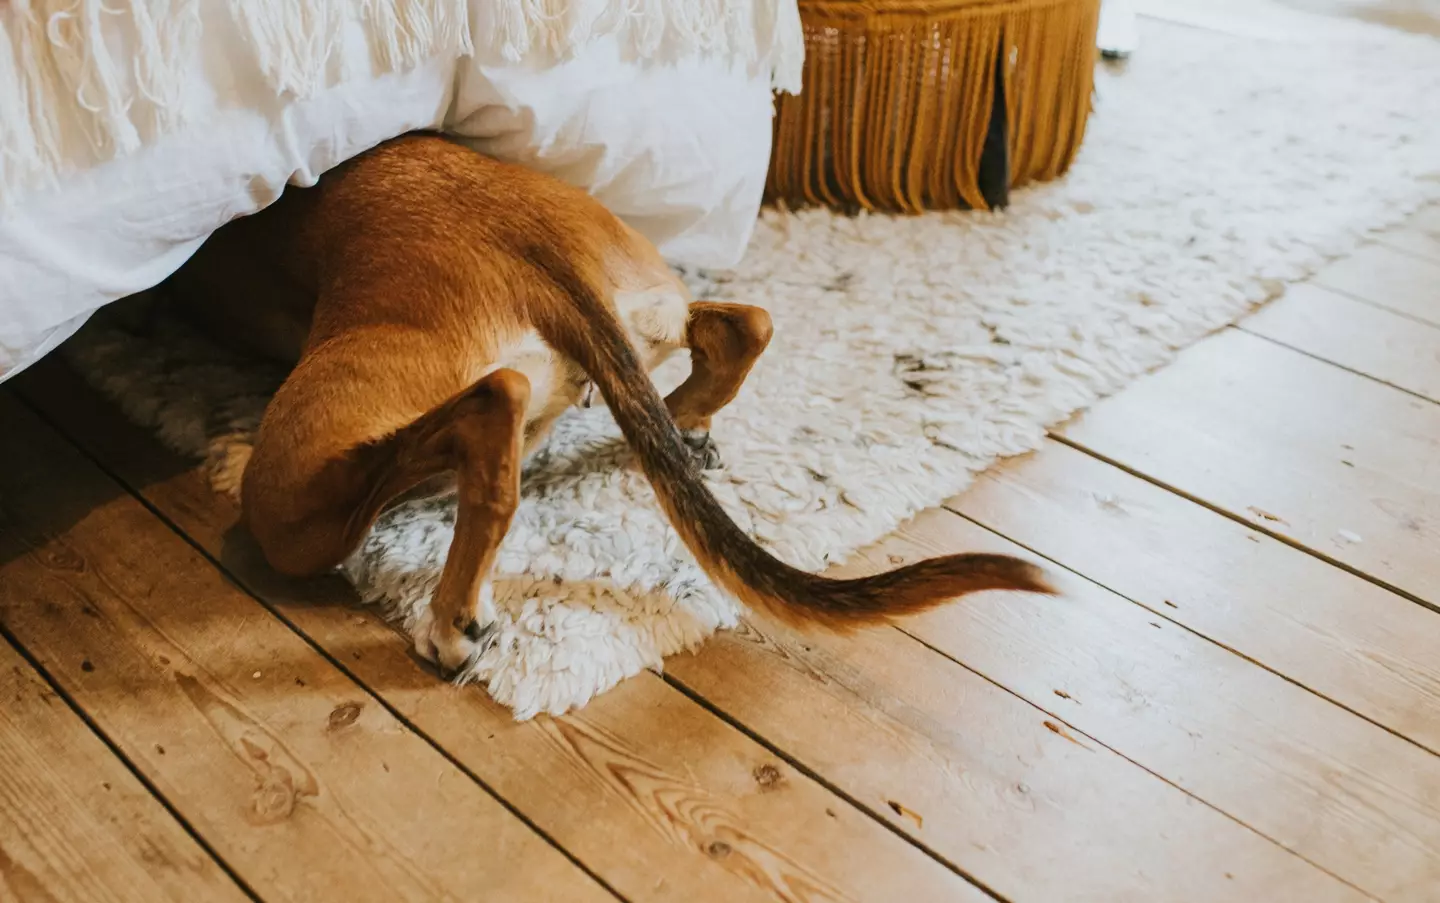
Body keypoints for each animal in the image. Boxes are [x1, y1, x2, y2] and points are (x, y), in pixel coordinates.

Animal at [168, 132, 1054, 671]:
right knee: (744, 328)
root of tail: (536, 248)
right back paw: (686, 425)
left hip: (289, 501)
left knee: (490, 410)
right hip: (651, 300)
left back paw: (452, 618)